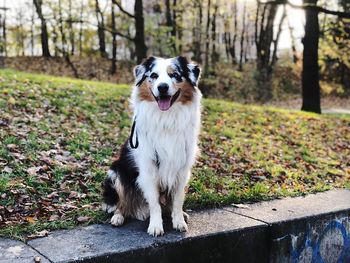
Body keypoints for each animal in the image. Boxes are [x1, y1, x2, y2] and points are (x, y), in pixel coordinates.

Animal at [101, 55, 201, 237]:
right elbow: (154, 203)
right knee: (121, 202)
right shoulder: (148, 169)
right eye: (153, 75)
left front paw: (179, 221)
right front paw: (155, 226)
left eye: (175, 75)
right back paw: (118, 217)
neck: (166, 119)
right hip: (116, 173)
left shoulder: (182, 170)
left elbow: (177, 200)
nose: (162, 87)